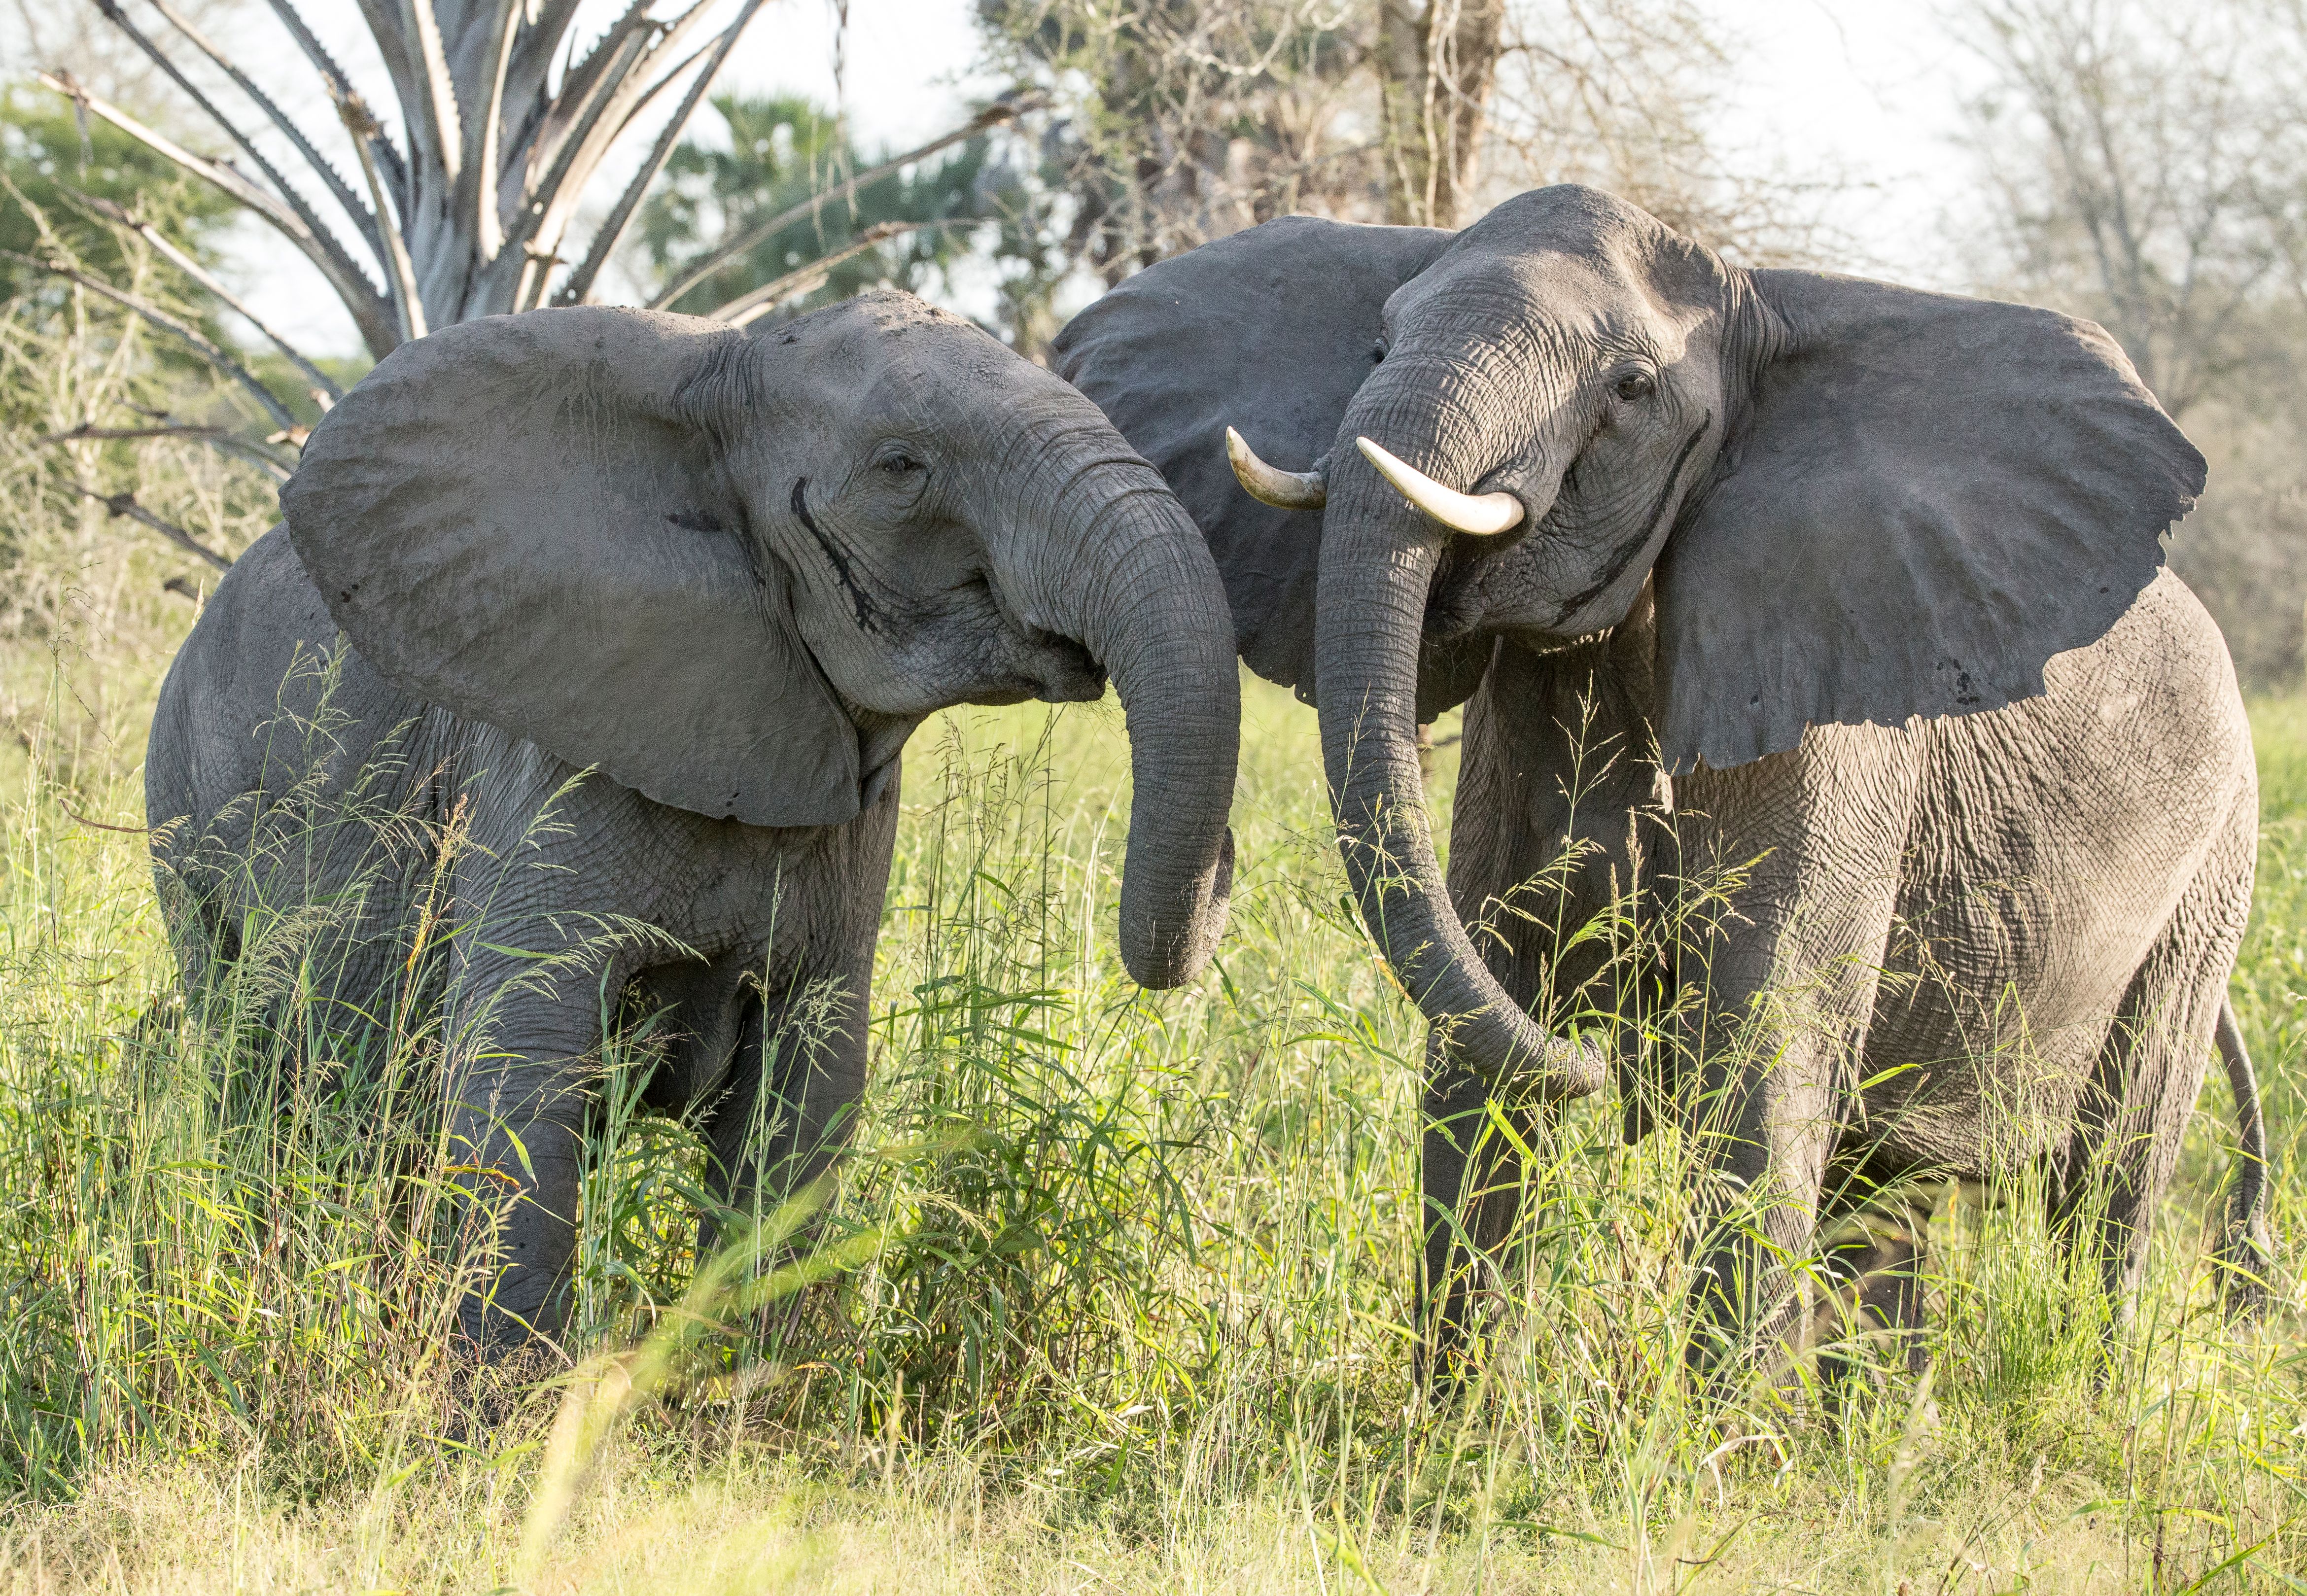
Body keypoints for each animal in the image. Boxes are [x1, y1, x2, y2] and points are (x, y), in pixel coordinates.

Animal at [147, 292, 1240, 1354]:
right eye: (902, 467)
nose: (1225, 865)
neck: (722, 366)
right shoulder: (543, 753)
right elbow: (519, 1069)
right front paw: (509, 1402)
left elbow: (804, 1106)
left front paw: (741, 1383)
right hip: (182, 815)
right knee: (257, 1085)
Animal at [1054, 185, 2273, 1374]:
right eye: (1377, 344)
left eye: (1631, 388)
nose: (1607, 1066)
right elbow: (1486, 1020)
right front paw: (1457, 1420)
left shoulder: (1835, 745)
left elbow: (1761, 1057)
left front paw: (1726, 1435)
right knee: (1886, 1200)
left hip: (2212, 873)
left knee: (2111, 1180)